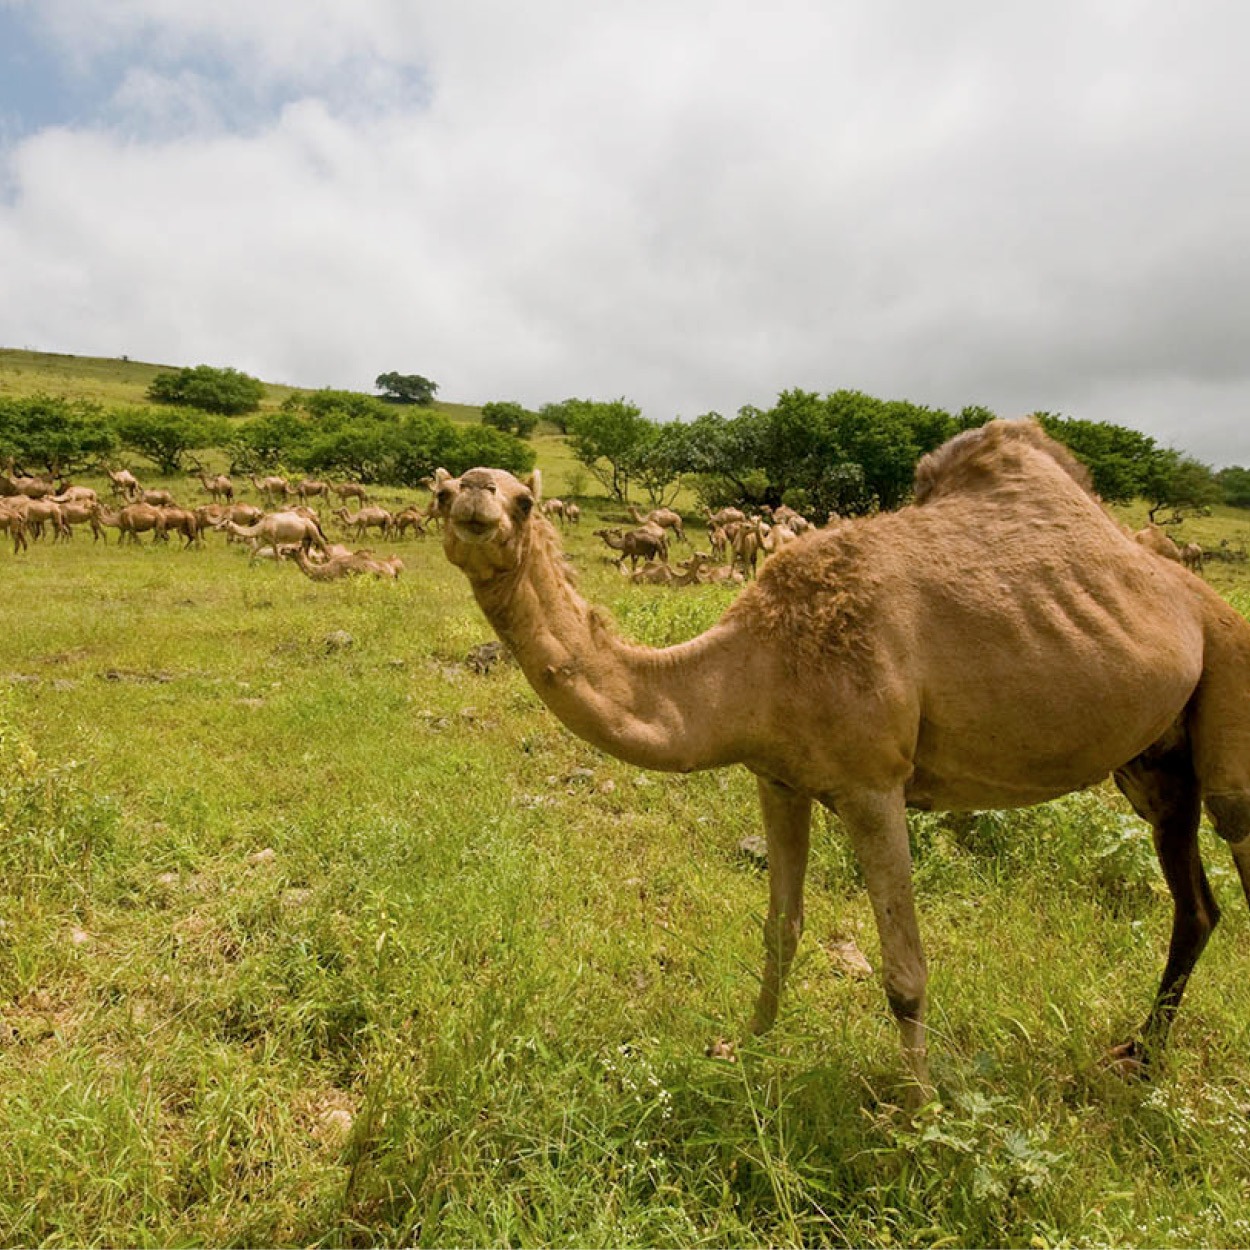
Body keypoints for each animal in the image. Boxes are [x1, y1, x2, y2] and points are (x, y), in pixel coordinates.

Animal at [435, 425, 1250, 1100]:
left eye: (523, 501)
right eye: (442, 493)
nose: (472, 497)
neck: (754, 660)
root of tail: (1201, 597)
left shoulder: (873, 784)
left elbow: (905, 972)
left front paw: (920, 1116)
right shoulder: (778, 777)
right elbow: (780, 930)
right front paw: (743, 1051)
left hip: (1230, 688)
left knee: (1232, 834)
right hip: (1153, 763)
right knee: (1194, 901)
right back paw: (1138, 1055)